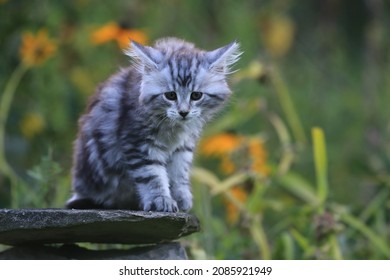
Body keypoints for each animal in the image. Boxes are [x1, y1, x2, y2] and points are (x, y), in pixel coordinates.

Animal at [66, 37, 241, 212]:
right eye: (170, 95)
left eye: (196, 95)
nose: (183, 112)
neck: (174, 128)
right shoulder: (138, 142)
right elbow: (153, 176)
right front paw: (161, 200)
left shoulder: (183, 146)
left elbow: (179, 173)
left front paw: (181, 197)